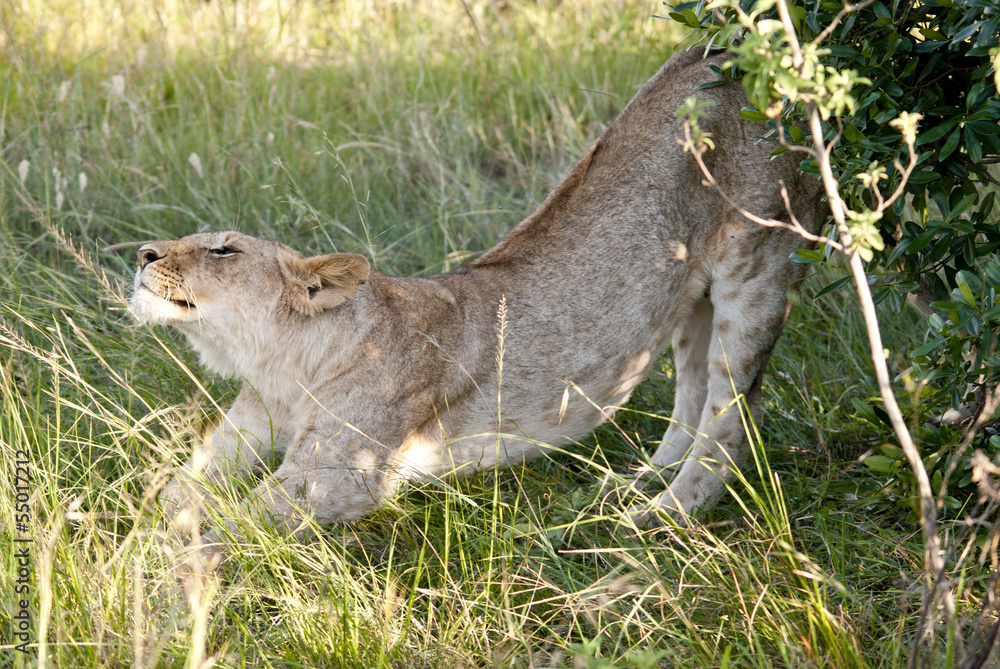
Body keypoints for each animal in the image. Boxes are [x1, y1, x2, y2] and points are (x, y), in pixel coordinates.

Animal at [130, 49, 825, 546]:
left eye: (223, 250)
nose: (142, 255)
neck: (281, 365)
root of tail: (717, 48)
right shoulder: (246, 429)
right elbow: (170, 493)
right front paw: (122, 532)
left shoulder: (338, 476)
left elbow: (228, 522)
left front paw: (147, 572)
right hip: (688, 298)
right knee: (693, 393)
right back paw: (630, 488)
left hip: (758, 261)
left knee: (733, 417)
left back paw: (654, 520)